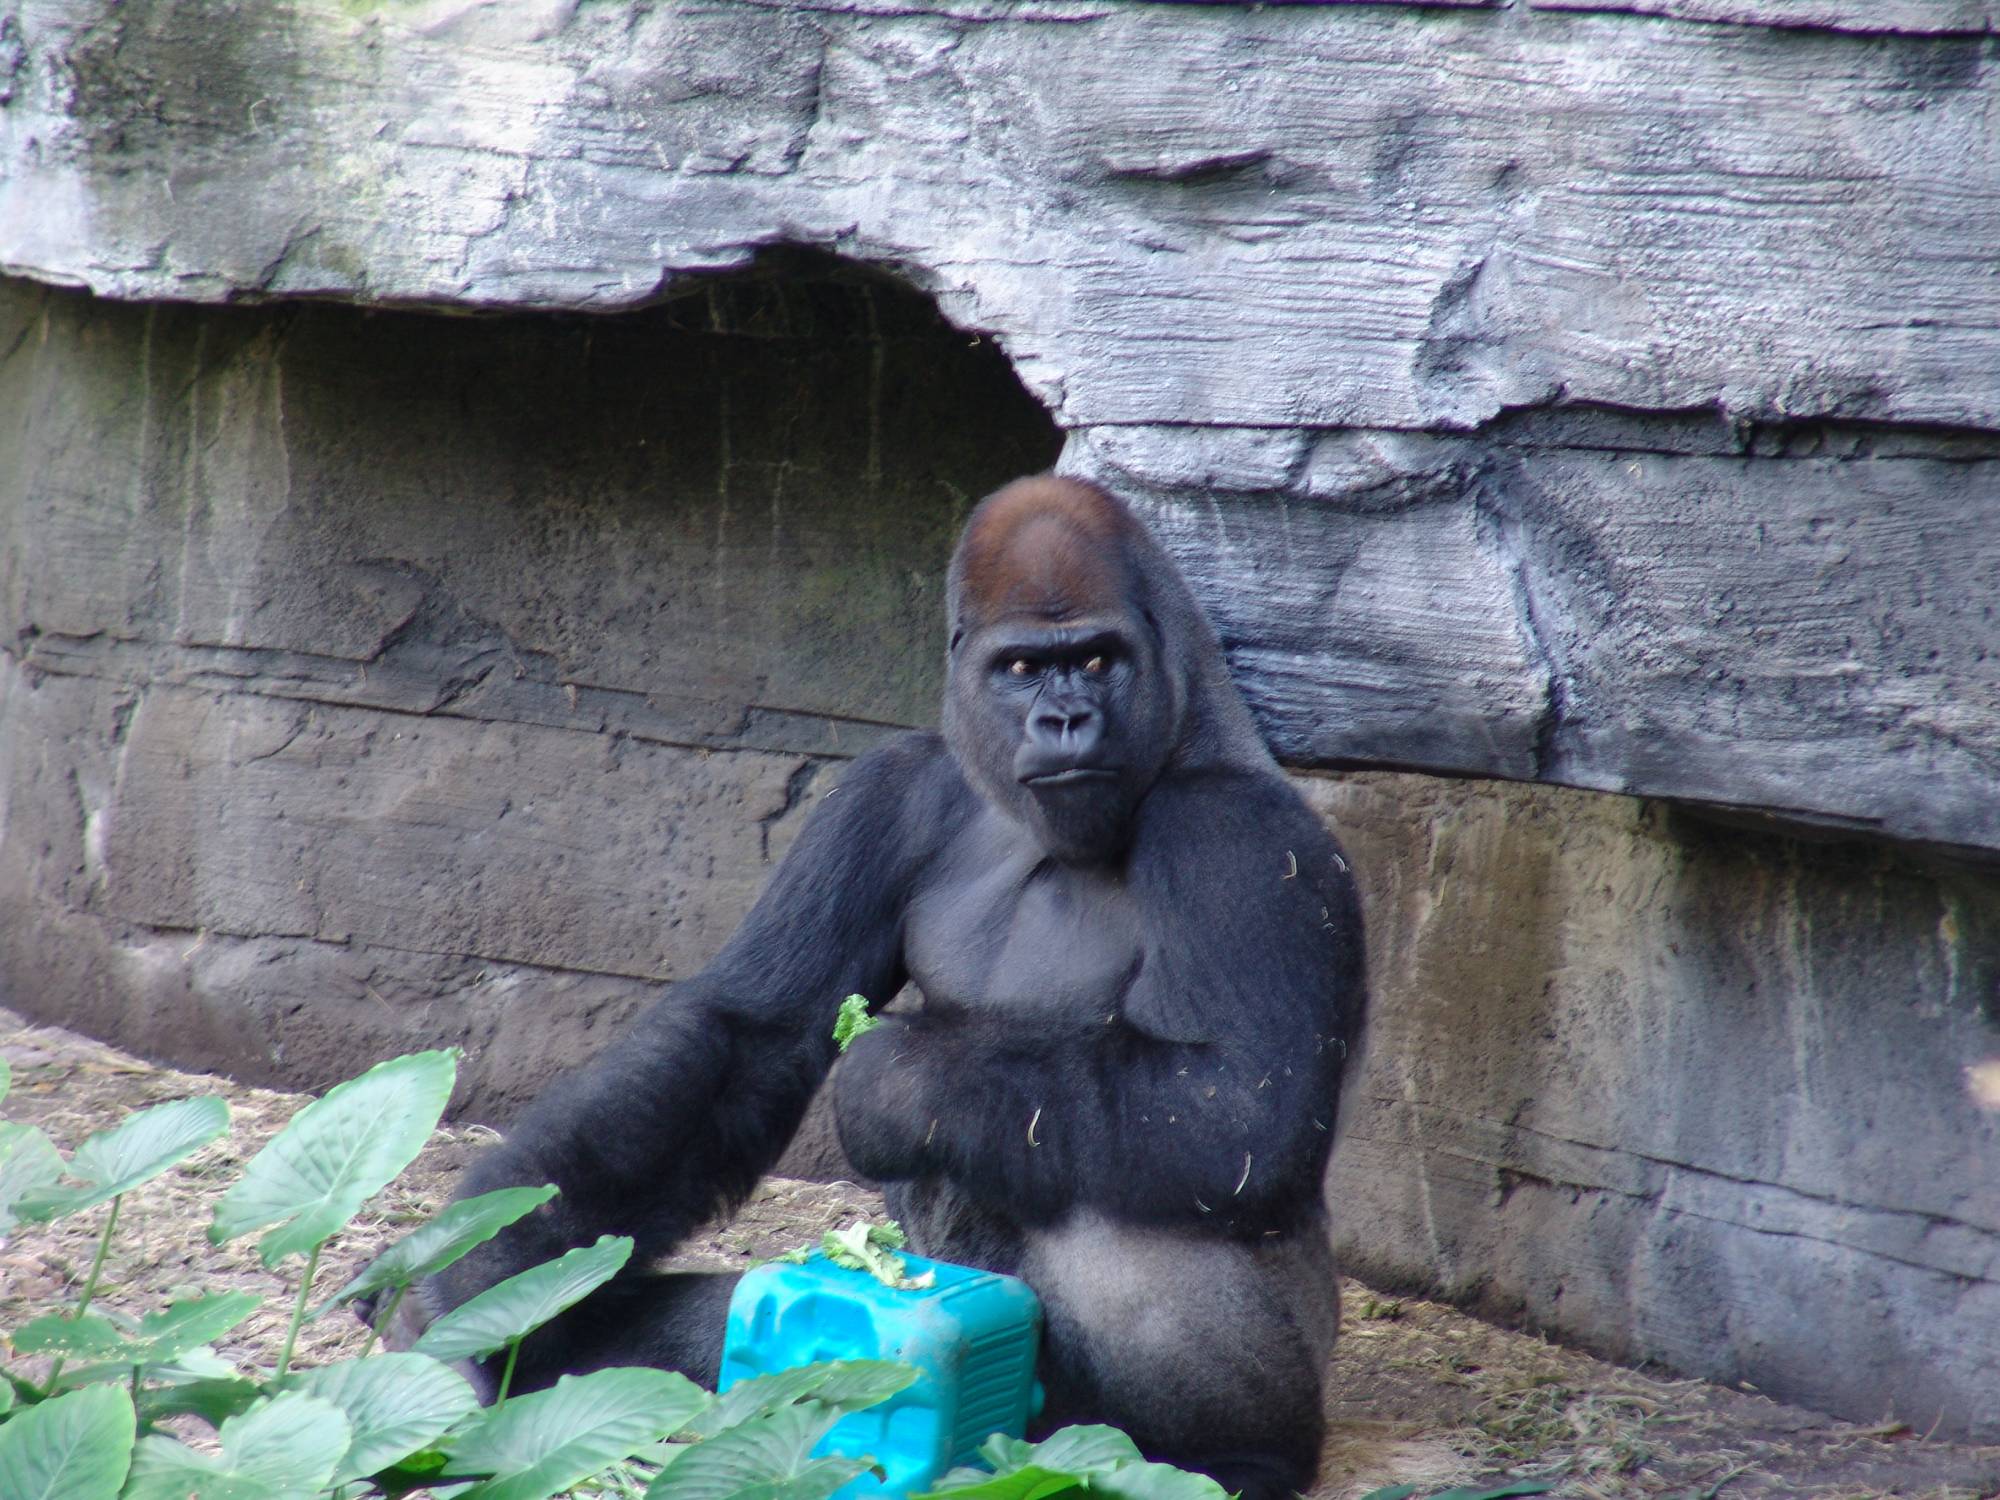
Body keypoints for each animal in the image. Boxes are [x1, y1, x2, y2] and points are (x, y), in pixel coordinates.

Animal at [418, 478, 1360, 1500]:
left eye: (1096, 660)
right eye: (1023, 668)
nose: (1066, 720)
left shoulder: (1242, 836)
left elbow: (1242, 1109)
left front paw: (890, 1079)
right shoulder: (891, 791)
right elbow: (750, 1032)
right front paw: (488, 1275)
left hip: (1230, 1394)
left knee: (1136, 1209)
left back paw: (1231, 1458)